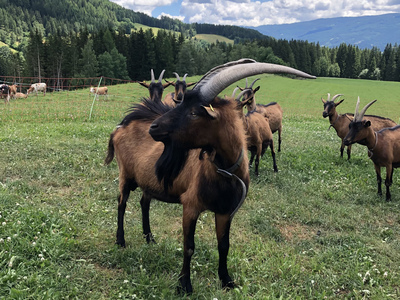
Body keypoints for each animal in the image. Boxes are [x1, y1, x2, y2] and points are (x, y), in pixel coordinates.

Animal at [104, 58, 318, 292]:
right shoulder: (190, 206)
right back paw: (120, 240)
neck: (224, 172)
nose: (154, 127)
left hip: (149, 181)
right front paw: (184, 285)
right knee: (121, 203)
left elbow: (224, 245)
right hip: (125, 175)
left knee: (144, 202)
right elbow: (189, 246)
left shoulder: (225, 211)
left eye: (194, 112)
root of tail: (120, 127)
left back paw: (149, 237)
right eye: (181, 104)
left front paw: (226, 280)